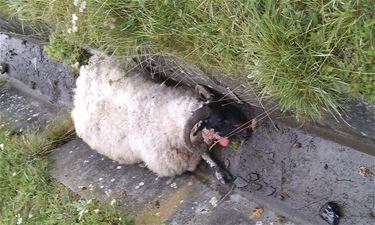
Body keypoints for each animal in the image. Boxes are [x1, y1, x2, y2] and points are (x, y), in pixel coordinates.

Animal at [72, 55, 250, 184]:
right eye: (221, 121)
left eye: (227, 107)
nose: (247, 131)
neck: (167, 117)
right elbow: (203, 153)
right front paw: (220, 173)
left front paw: (222, 173)